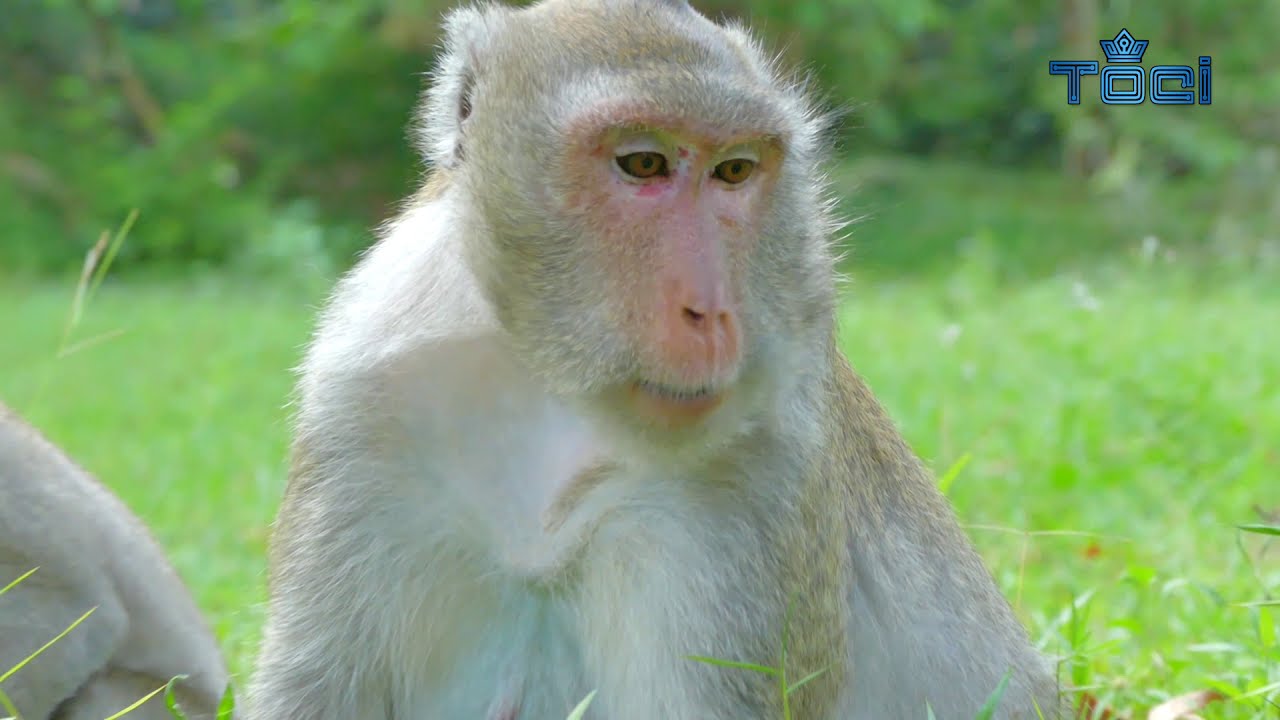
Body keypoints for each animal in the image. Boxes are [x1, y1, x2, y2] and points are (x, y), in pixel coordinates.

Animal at [247, 0, 1066, 718]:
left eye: (734, 171)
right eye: (643, 163)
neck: (549, 383)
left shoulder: (752, 472)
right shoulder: (361, 407)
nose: (711, 311)